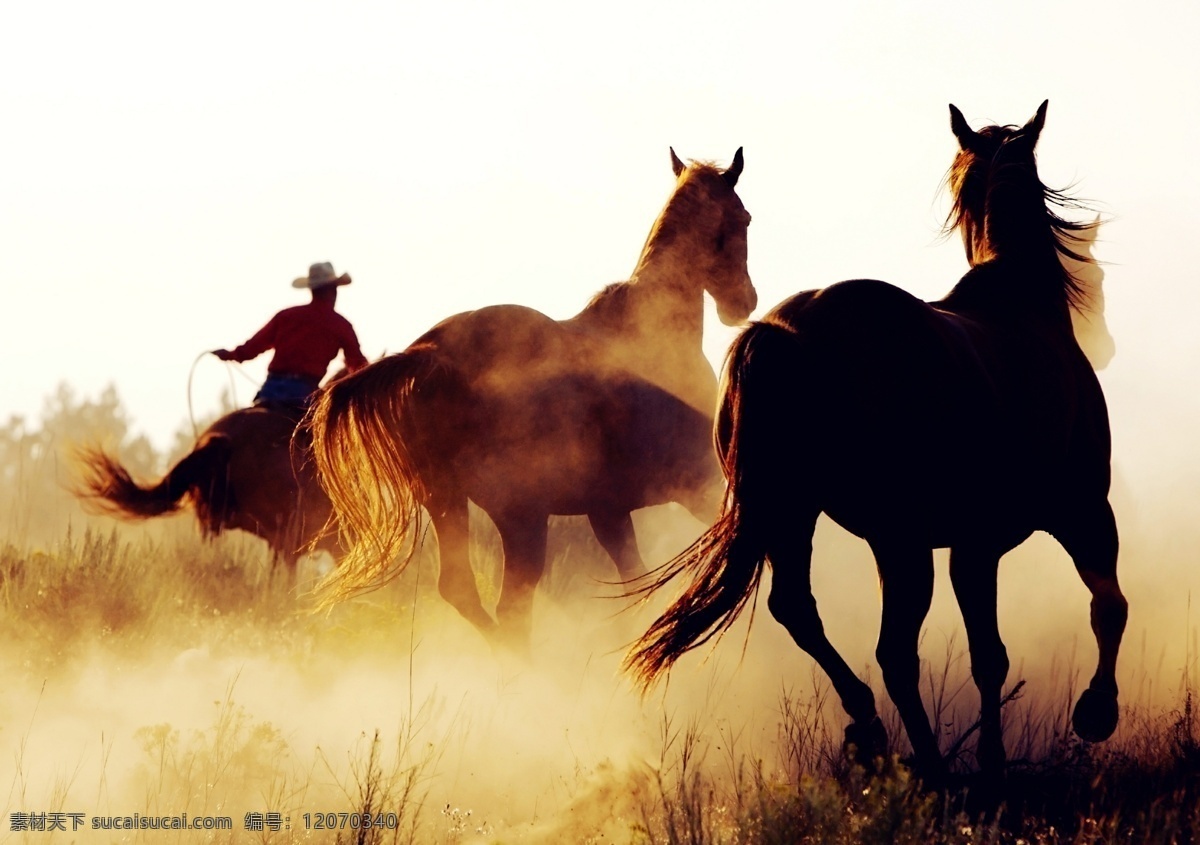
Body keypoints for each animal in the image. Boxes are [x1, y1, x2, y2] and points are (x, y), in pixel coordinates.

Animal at [312, 148, 758, 648]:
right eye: (744, 217)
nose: (743, 302)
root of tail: (430, 355)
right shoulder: (698, 484)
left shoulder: (608, 510)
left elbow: (634, 581)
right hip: (521, 518)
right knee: (510, 608)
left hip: (451, 503)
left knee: (465, 593)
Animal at [624, 103, 1128, 787]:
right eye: (1091, 273)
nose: (1105, 342)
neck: (1023, 311)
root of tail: (783, 333)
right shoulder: (1075, 515)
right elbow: (1098, 611)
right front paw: (1090, 714)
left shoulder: (973, 545)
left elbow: (991, 653)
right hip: (901, 539)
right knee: (893, 652)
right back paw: (929, 763)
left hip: (803, 517)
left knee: (801, 611)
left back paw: (869, 727)